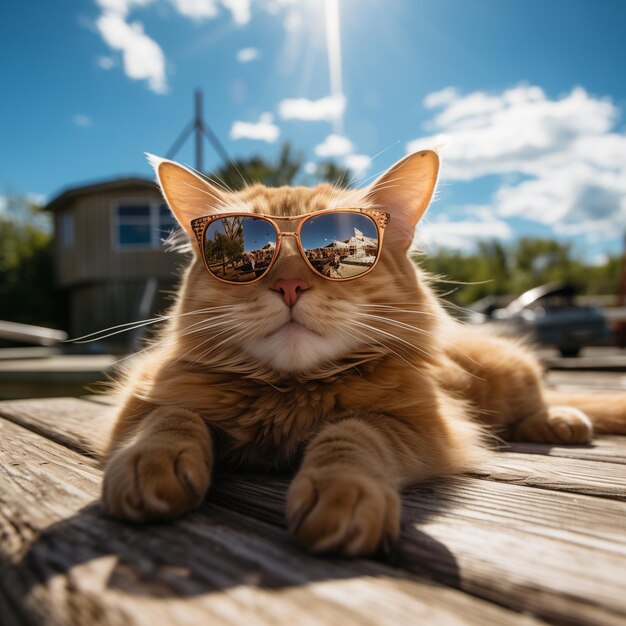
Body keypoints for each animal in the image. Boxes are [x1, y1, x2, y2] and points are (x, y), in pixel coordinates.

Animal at [102, 151, 624, 556]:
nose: (289, 286)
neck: (288, 396)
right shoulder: (145, 397)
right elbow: (171, 418)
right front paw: (152, 463)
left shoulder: (418, 425)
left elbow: (351, 435)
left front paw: (341, 492)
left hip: (510, 378)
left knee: (538, 403)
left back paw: (558, 421)